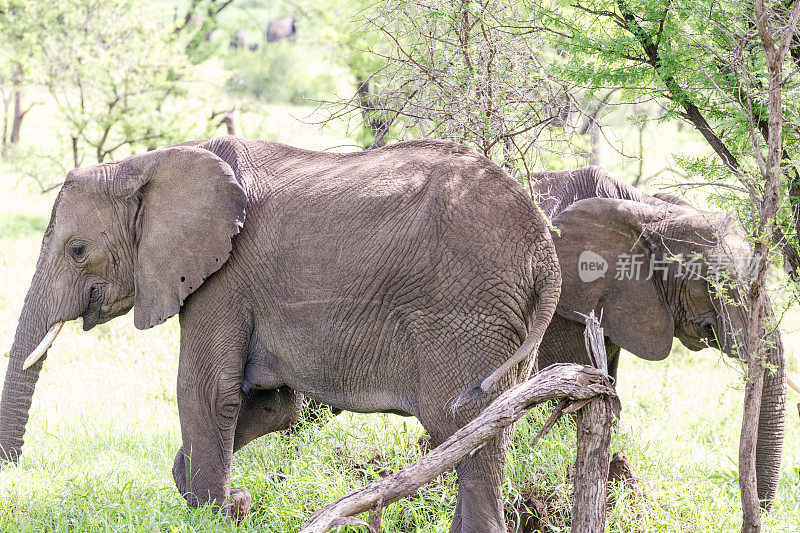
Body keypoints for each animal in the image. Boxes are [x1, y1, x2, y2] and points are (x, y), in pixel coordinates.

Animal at [0, 137, 560, 532]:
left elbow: (205, 392)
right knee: (480, 436)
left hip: (467, 309)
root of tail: (543, 246)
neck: (149, 163)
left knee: (467, 432)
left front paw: (214, 513)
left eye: (77, 250)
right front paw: (222, 498)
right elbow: (276, 406)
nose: (11, 469)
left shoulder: (225, 276)